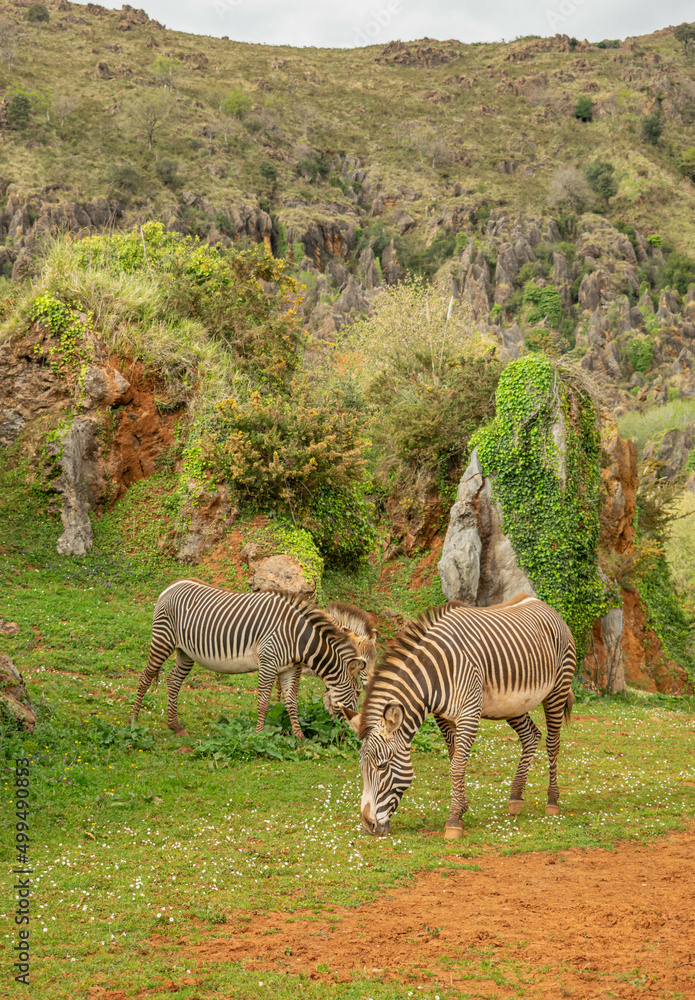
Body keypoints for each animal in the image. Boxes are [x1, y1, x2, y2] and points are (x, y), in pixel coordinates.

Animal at [129, 580, 368, 740]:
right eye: (358, 693)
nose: (355, 734)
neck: (298, 638)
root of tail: (171, 586)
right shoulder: (269, 662)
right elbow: (263, 702)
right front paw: (259, 735)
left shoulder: (290, 669)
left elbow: (292, 702)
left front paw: (300, 739)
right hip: (163, 640)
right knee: (145, 677)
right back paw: (133, 720)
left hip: (185, 652)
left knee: (173, 681)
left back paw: (175, 726)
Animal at [340, 594, 576, 839]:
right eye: (361, 765)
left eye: (382, 766)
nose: (368, 825)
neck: (434, 675)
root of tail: (540, 602)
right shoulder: (443, 717)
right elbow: (455, 760)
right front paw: (461, 809)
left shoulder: (469, 713)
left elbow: (457, 766)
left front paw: (453, 820)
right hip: (513, 704)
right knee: (531, 736)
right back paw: (516, 797)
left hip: (557, 689)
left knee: (552, 742)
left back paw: (552, 800)